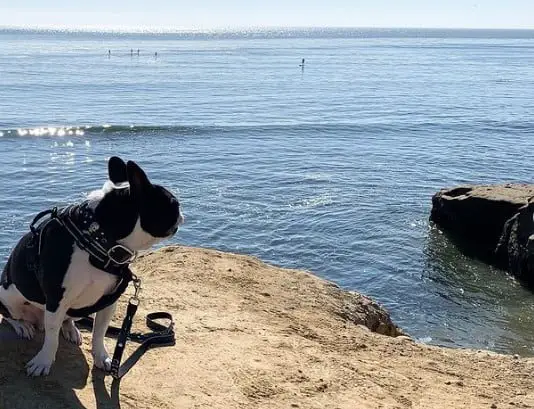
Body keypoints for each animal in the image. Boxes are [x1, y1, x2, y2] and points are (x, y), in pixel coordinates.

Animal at [0, 156, 184, 376]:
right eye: (173, 204)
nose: (182, 213)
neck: (97, 238)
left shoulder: (108, 301)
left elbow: (99, 332)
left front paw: (102, 357)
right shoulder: (56, 300)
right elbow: (52, 338)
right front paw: (43, 362)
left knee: (67, 319)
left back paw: (71, 329)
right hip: (7, 296)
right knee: (11, 315)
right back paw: (23, 326)